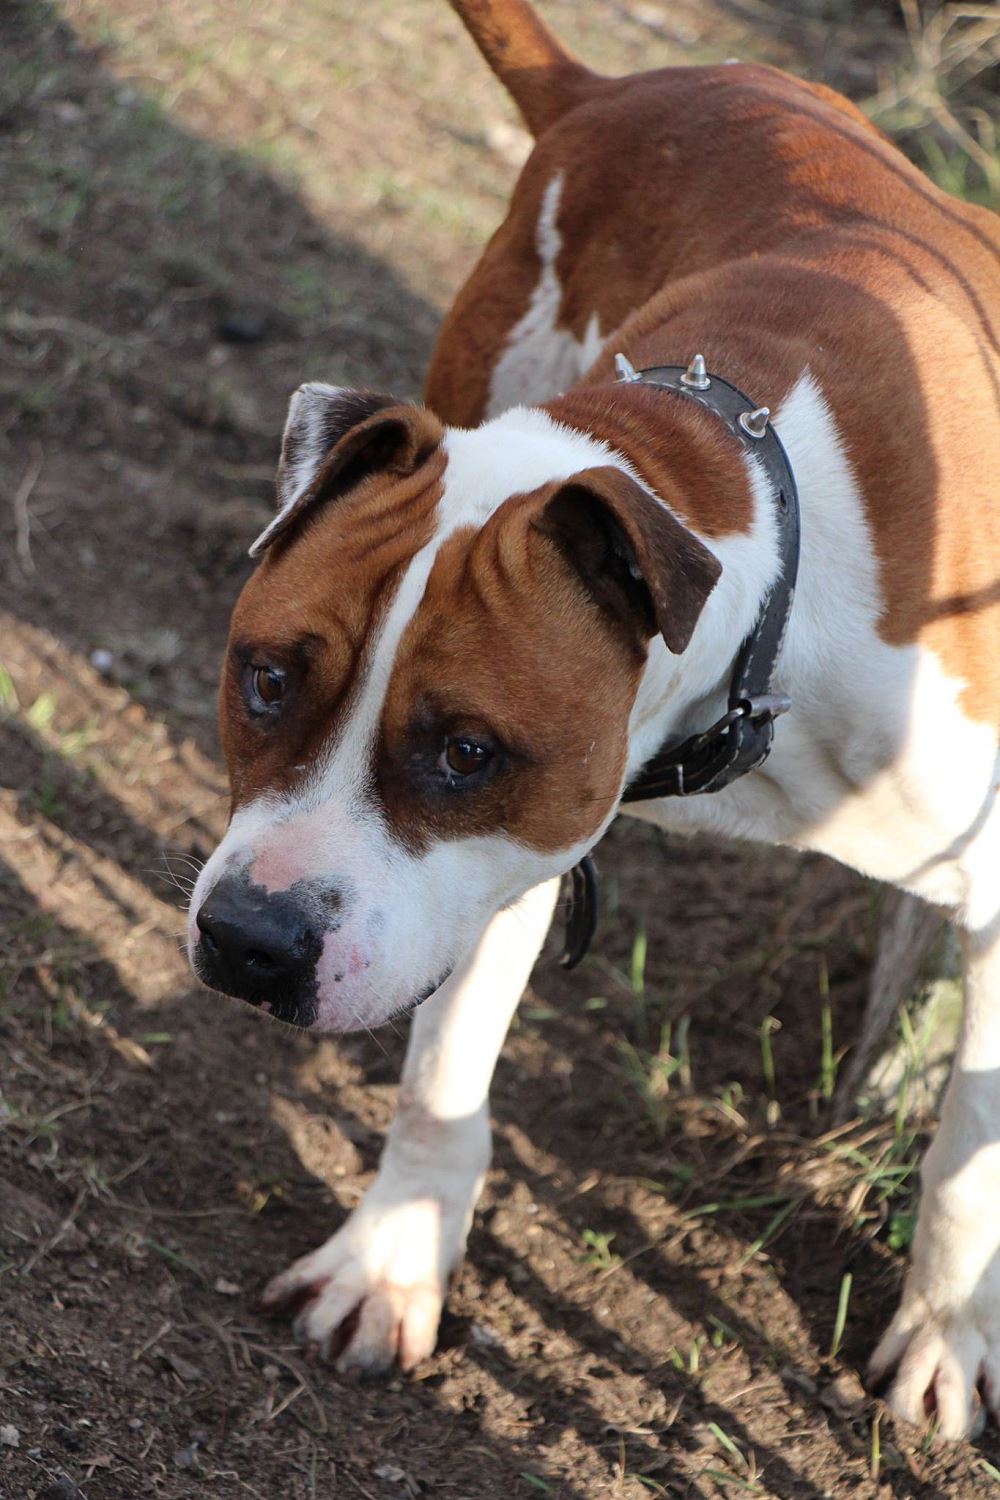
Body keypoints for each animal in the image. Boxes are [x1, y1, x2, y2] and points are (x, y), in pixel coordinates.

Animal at [187, 0, 1000, 1439]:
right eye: (268, 680)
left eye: (464, 751)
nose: (248, 941)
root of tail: (618, 89)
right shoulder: (515, 860)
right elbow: (443, 1072)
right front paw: (391, 1262)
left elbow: (971, 1156)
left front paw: (946, 1337)